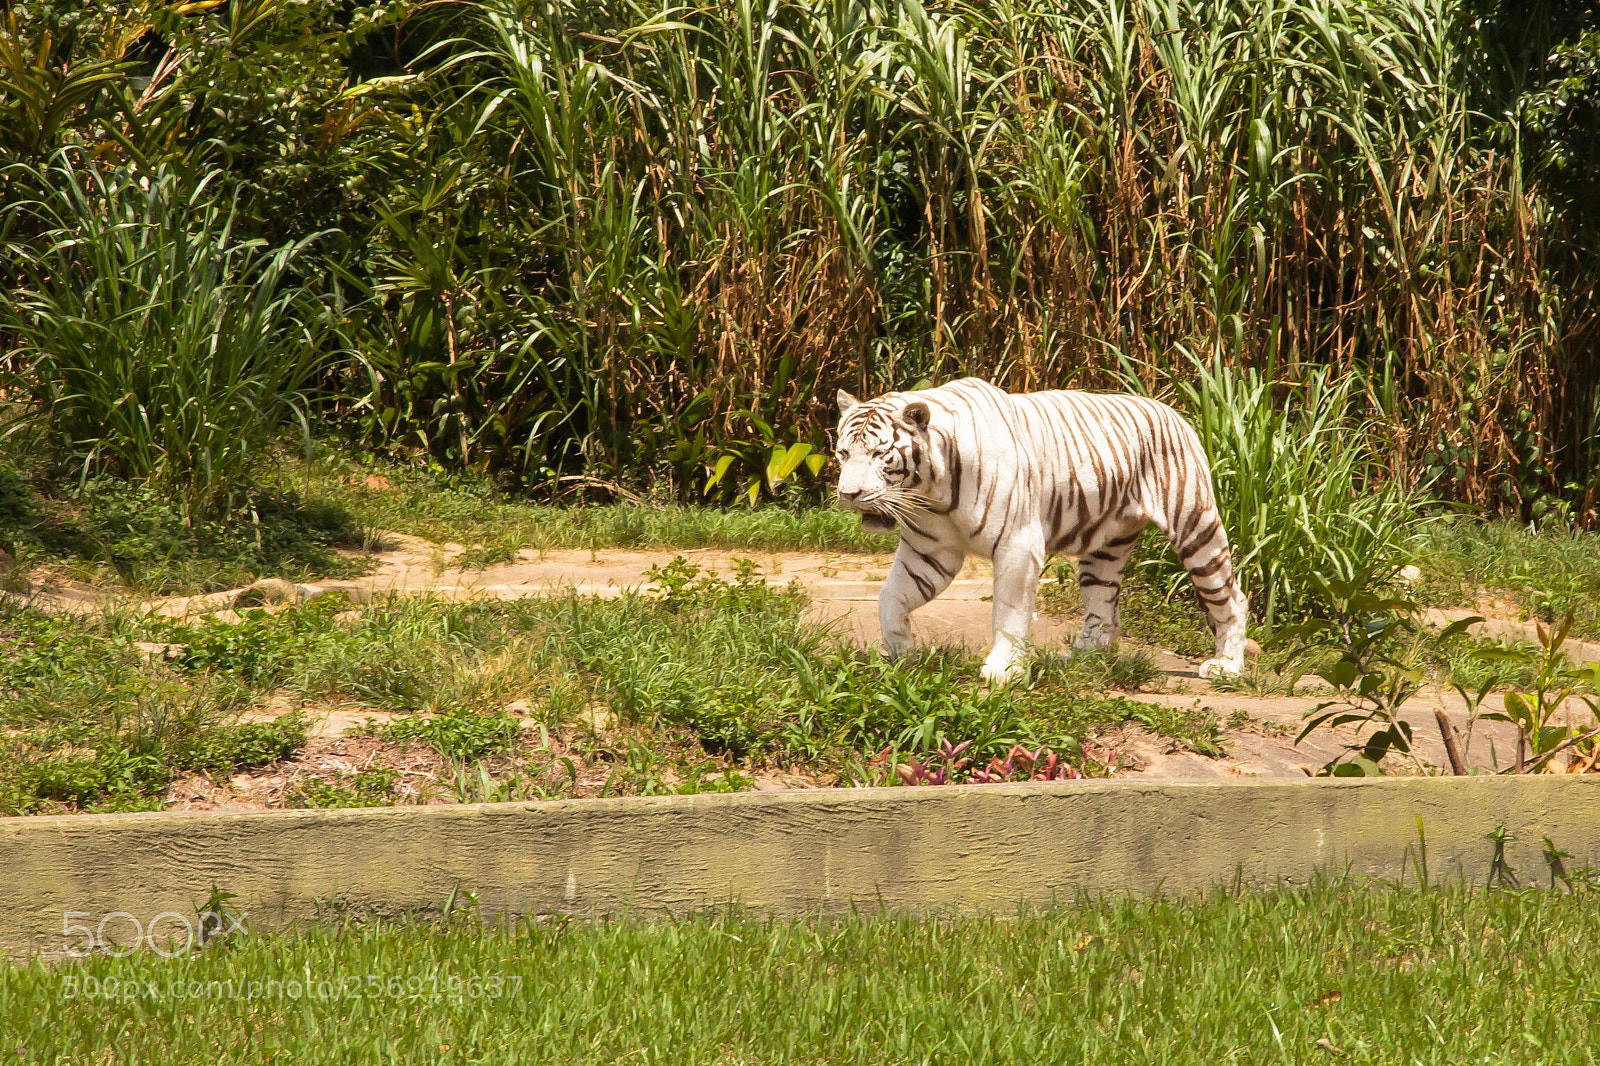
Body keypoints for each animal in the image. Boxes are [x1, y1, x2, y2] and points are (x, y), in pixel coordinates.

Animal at [832, 377, 1248, 685]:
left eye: (879, 455)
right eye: (843, 453)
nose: (848, 494)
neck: (930, 490)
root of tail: (1171, 411)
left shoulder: (1017, 544)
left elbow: (1009, 610)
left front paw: (1004, 670)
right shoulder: (930, 551)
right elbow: (890, 597)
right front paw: (902, 654)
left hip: (1196, 527)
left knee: (1231, 596)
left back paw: (1226, 666)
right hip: (1104, 549)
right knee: (1104, 610)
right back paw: (1079, 660)